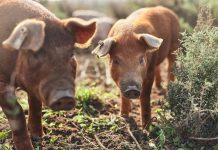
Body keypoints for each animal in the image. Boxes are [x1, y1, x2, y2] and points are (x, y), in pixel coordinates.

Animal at [0, 0, 96, 149]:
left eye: (71, 54)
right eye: (35, 54)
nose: (64, 96)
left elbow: (35, 105)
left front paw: (38, 137)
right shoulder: (2, 82)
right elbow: (17, 113)